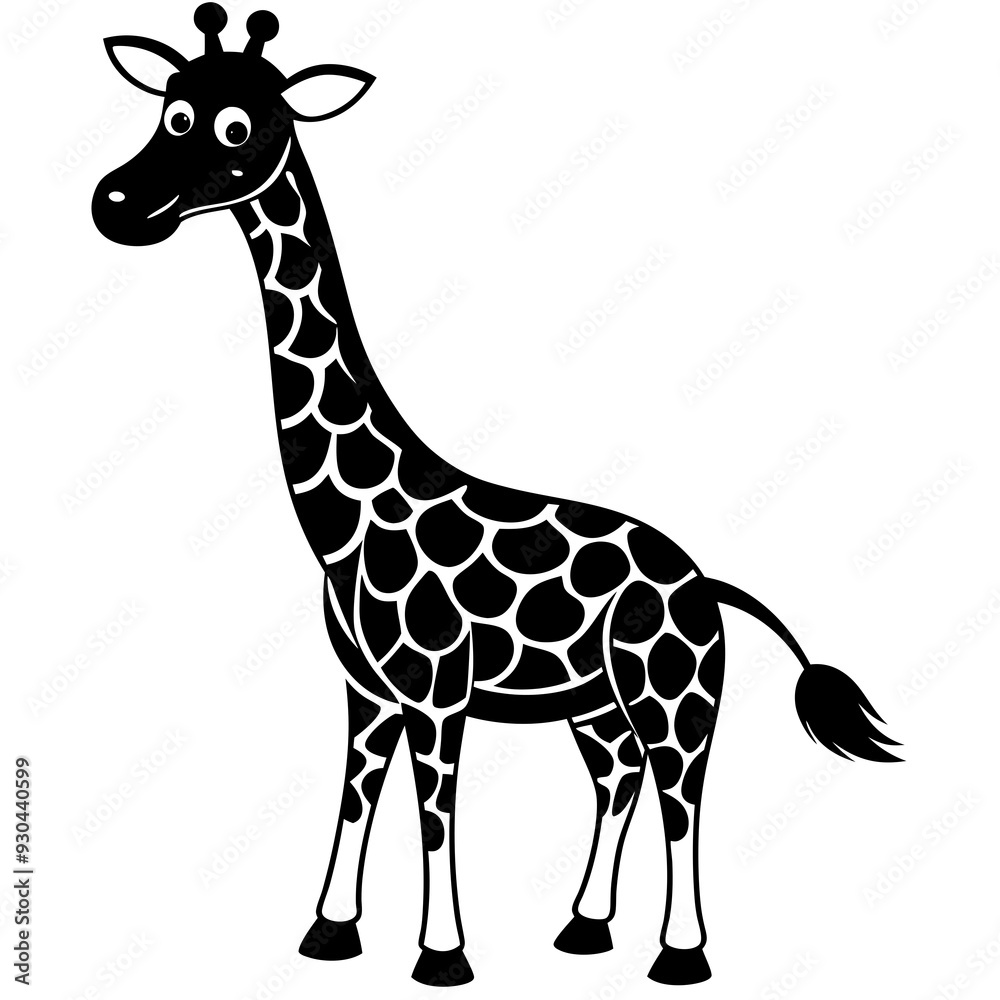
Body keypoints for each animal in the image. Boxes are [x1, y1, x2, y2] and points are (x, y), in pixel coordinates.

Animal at [91, 6, 901, 987]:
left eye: (237, 129)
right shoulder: (368, 691)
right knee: (620, 779)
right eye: (169, 111)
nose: (115, 205)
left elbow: (435, 815)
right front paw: (329, 934)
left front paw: (441, 957)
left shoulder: (438, 687)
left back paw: (679, 955)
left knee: (682, 796)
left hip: (674, 690)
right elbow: (357, 802)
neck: (345, 520)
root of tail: (705, 583)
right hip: (596, 704)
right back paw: (584, 928)